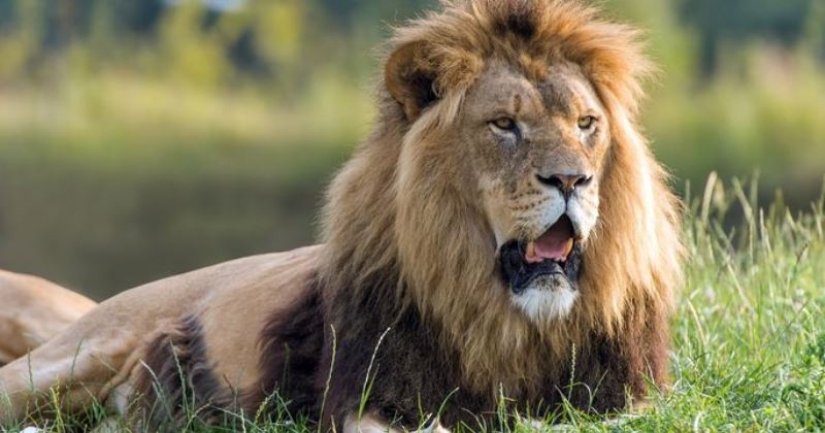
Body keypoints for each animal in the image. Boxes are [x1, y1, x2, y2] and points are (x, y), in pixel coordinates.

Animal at [0, 0, 683, 431]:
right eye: (504, 124)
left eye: (586, 124)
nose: (572, 180)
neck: (504, 318)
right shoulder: (368, 392)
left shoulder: (629, 395)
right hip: (68, 358)